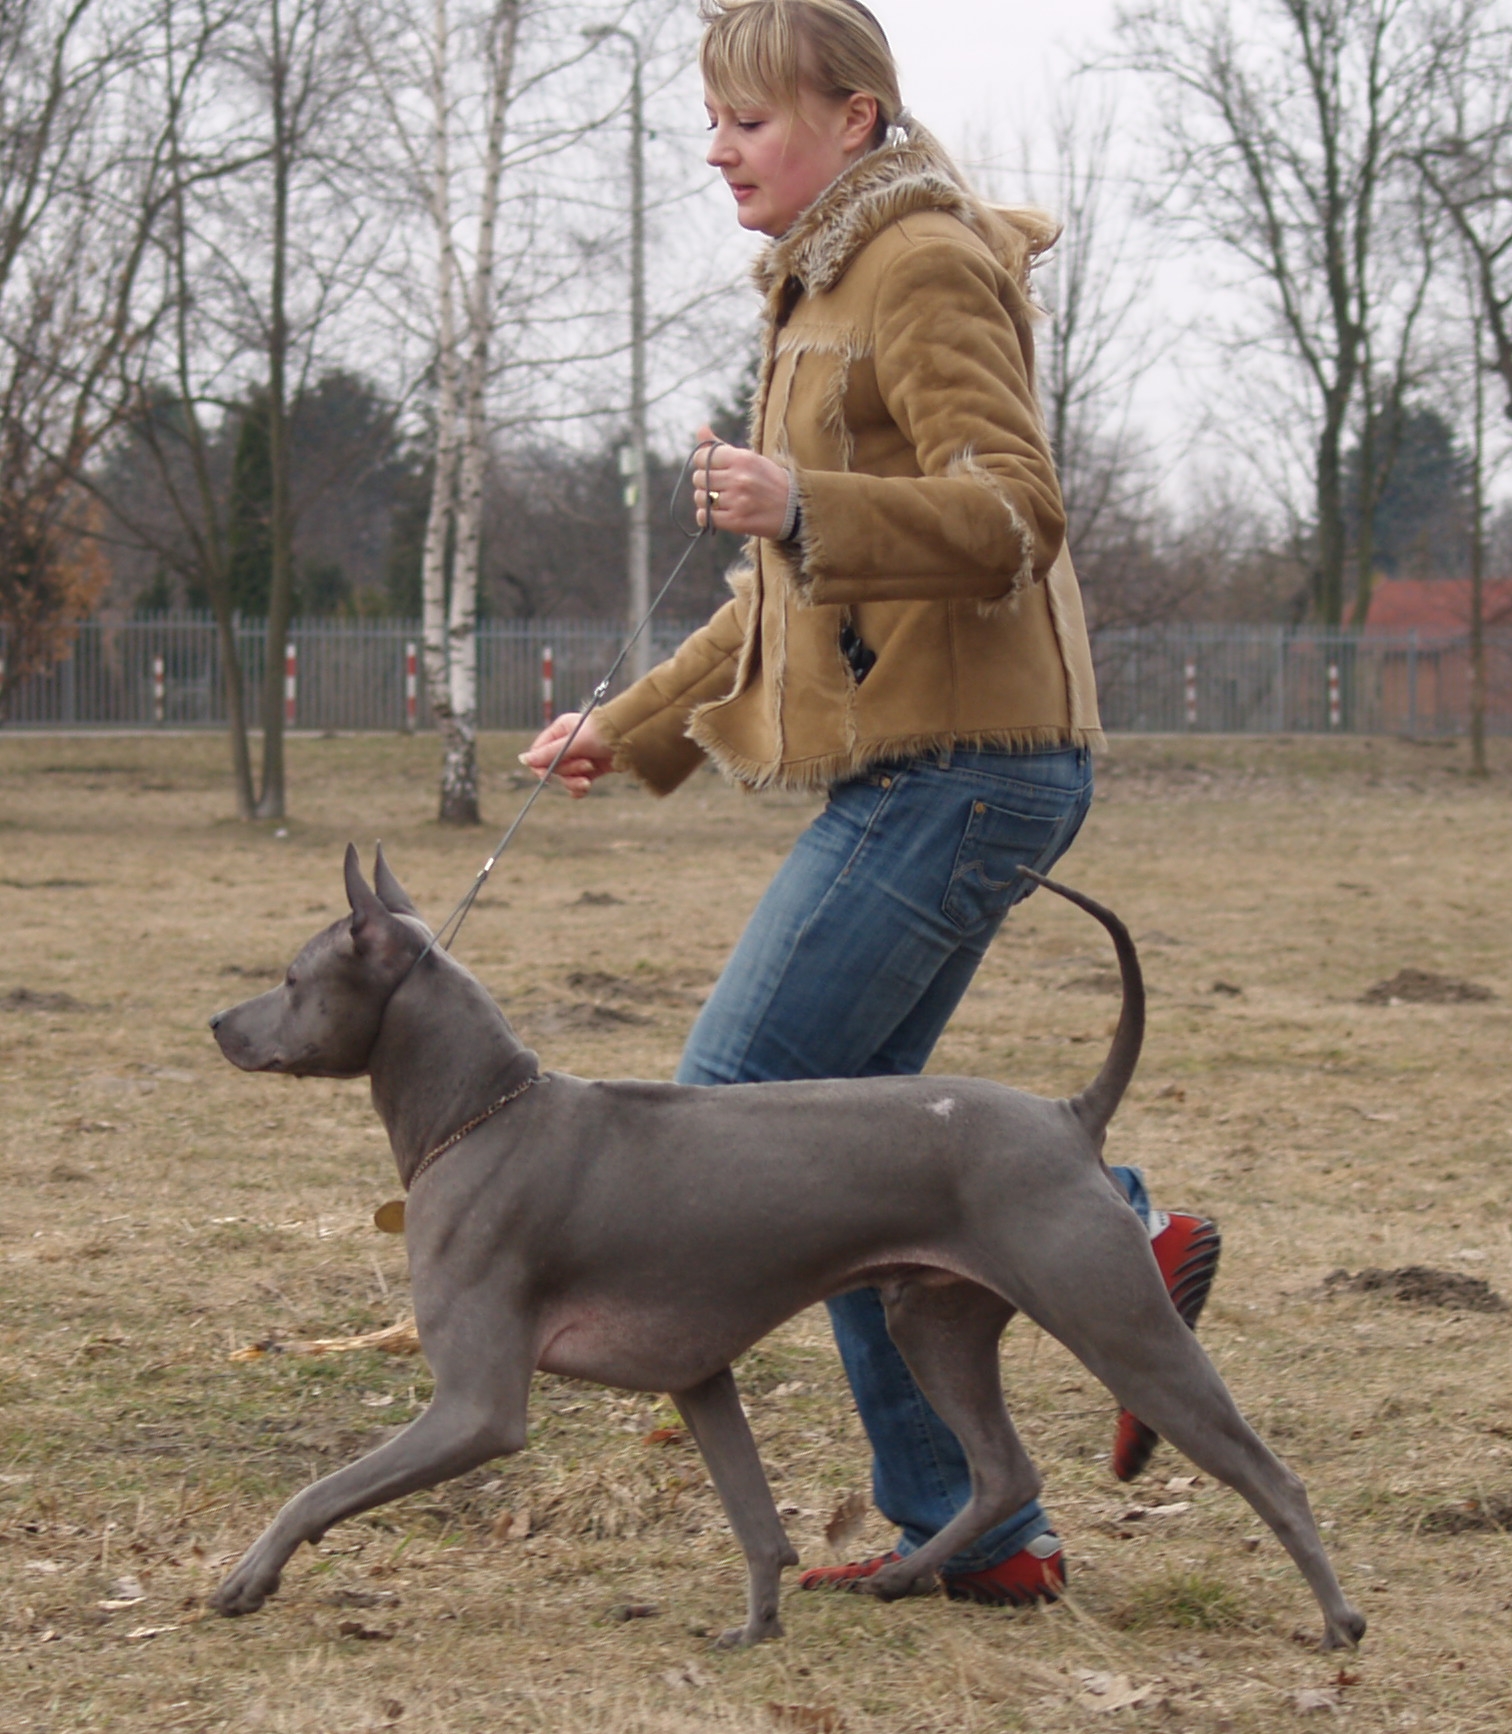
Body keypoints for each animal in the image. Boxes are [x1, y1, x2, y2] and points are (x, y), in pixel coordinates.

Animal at [206, 846, 1366, 1643]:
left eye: (292, 976)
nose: (217, 1023)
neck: (485, 1114)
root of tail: (1066, 1114)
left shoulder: (475, 1408)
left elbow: (320, 1489)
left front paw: (248, 1576)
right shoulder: (699, 1376)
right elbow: (757, 1516)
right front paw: (758, 1625)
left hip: (1113, 1322)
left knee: (1266, 1469)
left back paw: (1338, 1619)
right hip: (931, 1321)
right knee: (1001, 1469)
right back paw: (898, 1574)